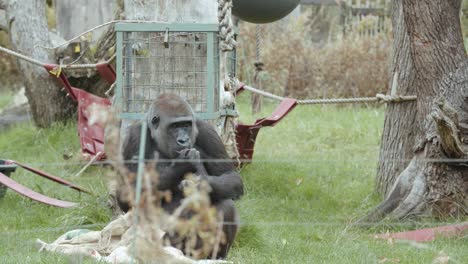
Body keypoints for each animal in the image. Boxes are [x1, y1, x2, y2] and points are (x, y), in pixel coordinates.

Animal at [117, 94, 243, 258]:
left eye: (186, 125)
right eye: (174, 126)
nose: (184, 140)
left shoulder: (207, 131)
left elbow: (231, 176)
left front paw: (202, 184)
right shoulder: (134, 137)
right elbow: (127, 194)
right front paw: (182, 165)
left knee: (225, 206)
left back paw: (216, 256)